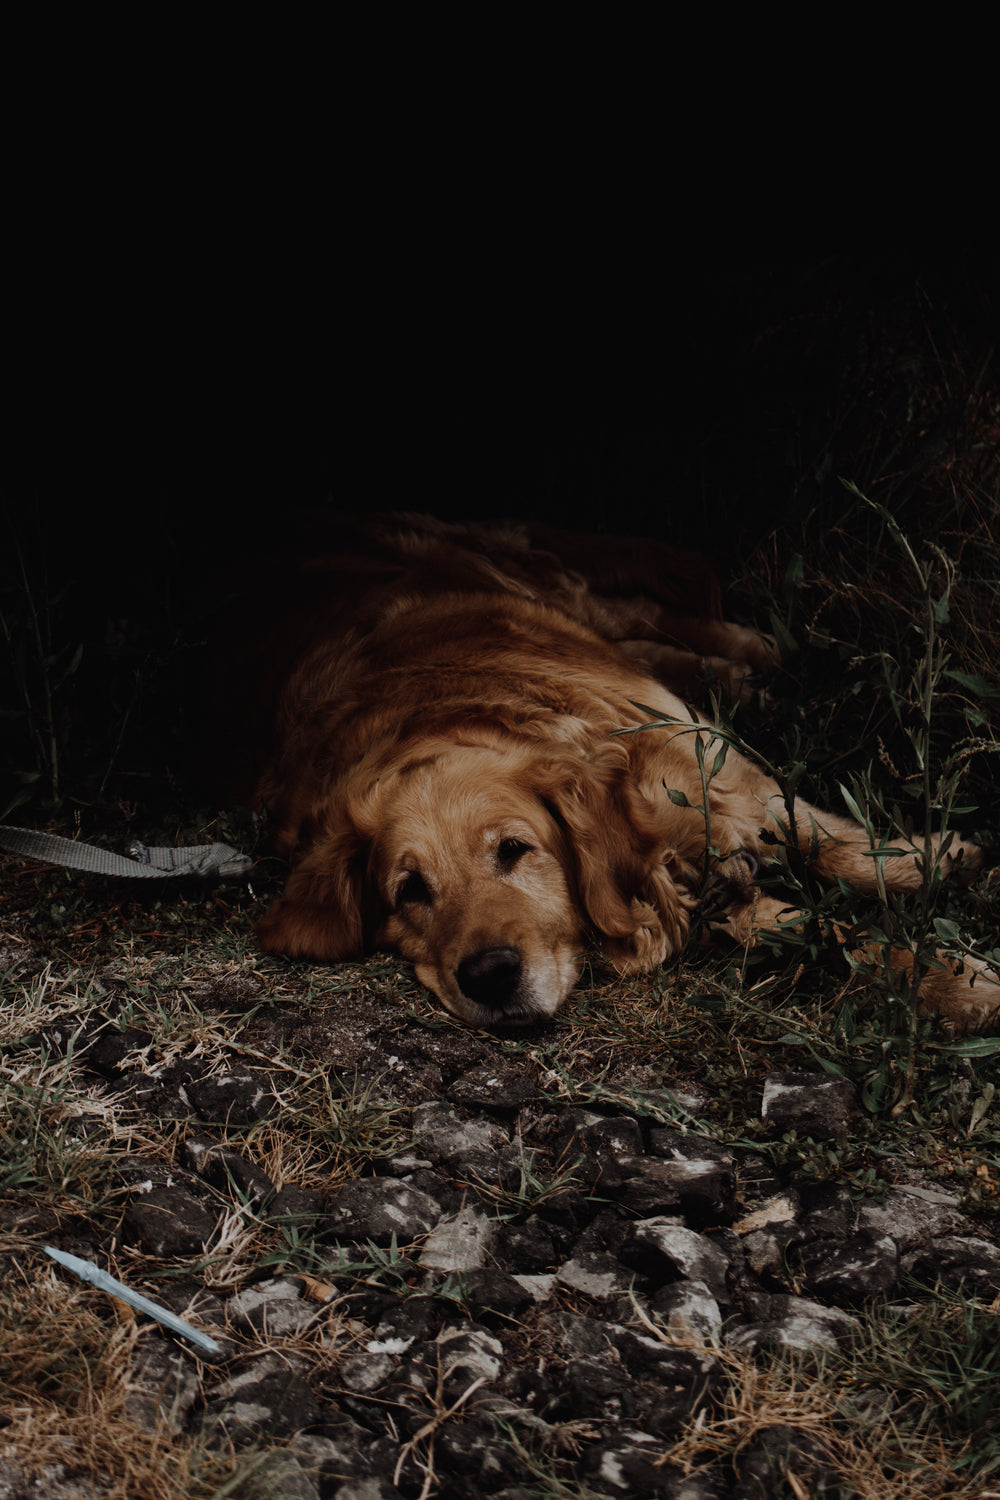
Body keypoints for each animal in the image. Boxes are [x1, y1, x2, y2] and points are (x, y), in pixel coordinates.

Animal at [238, 516, 995, 1032]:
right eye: (409, 892)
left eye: (514, 850)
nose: (489, 977)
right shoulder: (701, 891)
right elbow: (831, 935)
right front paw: (951, 979)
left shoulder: (723, 776)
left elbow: (831, 843)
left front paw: (934, 870)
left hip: (547, 586)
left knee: (641, 615)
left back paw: (752, 653)